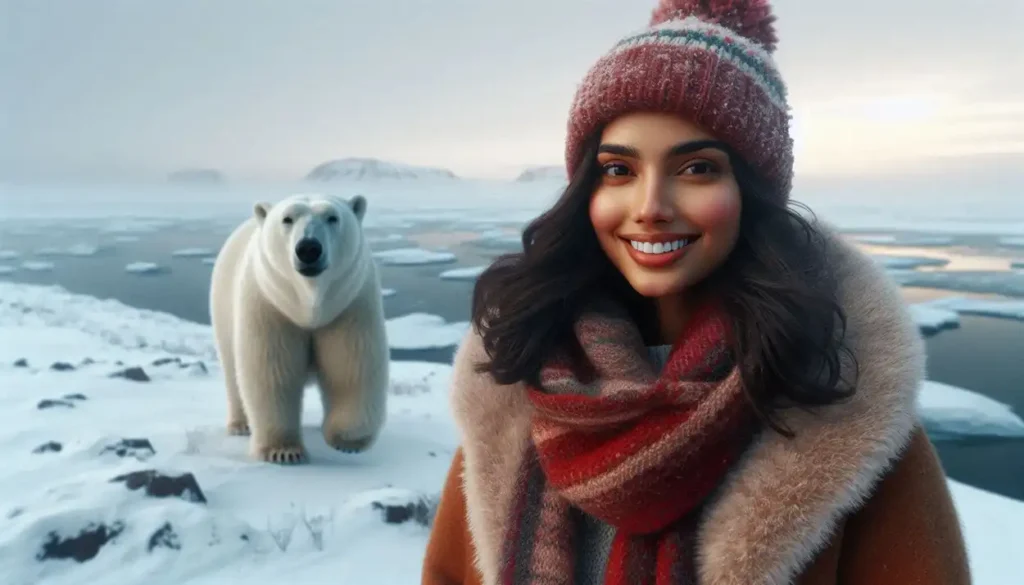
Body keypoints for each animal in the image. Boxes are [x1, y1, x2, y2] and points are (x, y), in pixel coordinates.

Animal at [207, 194, 387, 465]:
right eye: (287, 218)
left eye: (332, 217)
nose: (309, 249)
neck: (309, 305)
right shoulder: (269, 306)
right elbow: (271, 371)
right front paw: (283, 452)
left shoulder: (349, 307)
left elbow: (351, 367)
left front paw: (347, 441)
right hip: (223, 306)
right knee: (231, 368)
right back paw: (240, 425)